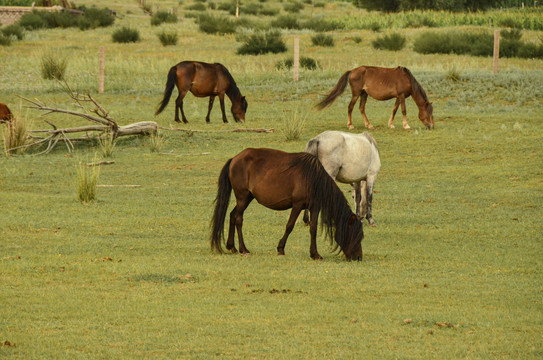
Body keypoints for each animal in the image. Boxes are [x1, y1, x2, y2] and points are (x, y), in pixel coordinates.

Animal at [212, 148, 366, 260]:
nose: (358, 257)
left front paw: (315, 254)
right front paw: (280, 249)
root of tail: (234, 159)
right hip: (243, 198)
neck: (313, 179)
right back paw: (243, 249)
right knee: (238, 218)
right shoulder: (297, 205)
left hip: (247, 198)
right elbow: (289, 226)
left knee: (232, 215)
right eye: (354, 234)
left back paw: (231, 247)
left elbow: (313, 229)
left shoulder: (314, 207)